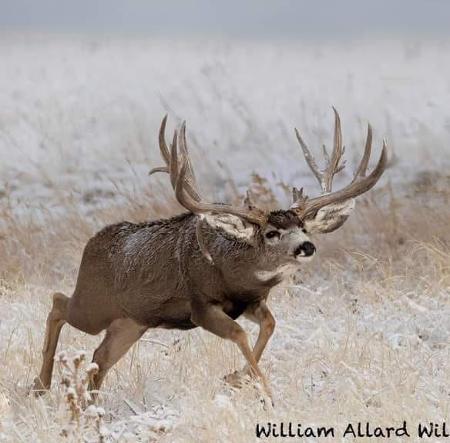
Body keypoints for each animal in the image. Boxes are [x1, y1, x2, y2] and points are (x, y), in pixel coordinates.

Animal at [32, 108, 386, 402]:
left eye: (303, 227)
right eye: (271, 233)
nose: (306, 247)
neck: (235, 273)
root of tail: (92, 243)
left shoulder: (251, 302)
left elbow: (270, 324)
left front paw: (236, 377)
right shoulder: (200, 306)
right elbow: (239, 334)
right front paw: (263, 391)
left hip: (132, 321)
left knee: (99, 356)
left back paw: (87, 402)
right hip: (94, 305)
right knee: (58, 301)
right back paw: (40, 385)